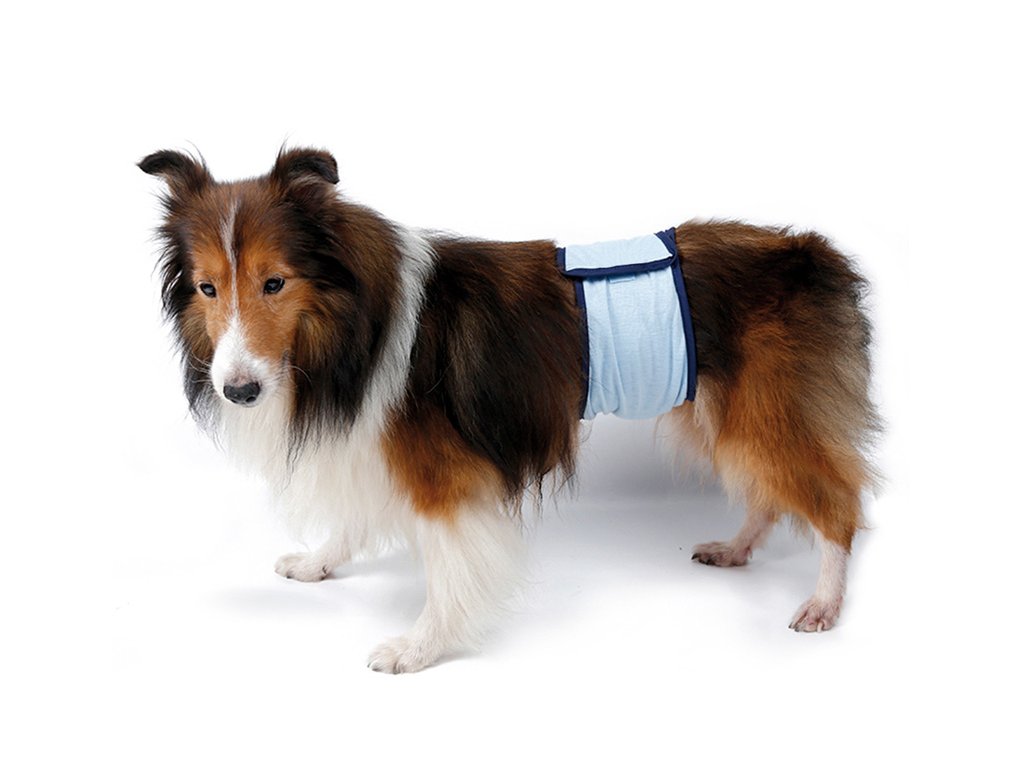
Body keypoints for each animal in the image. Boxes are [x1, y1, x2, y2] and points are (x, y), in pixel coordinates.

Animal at [139, 147, 879, 673]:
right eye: (207, 287)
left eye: (274, 282)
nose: (239, 390)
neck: (354, 321)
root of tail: (810, 252)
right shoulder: (366, 443)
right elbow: (351, 518)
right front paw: (318, 564)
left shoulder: (441, 477)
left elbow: (446, 571)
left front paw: (418, 648)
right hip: (721, 417)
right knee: (772, 496)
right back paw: (737, 548)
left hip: (762, 419)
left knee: (837, 506)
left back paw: (823, 603)